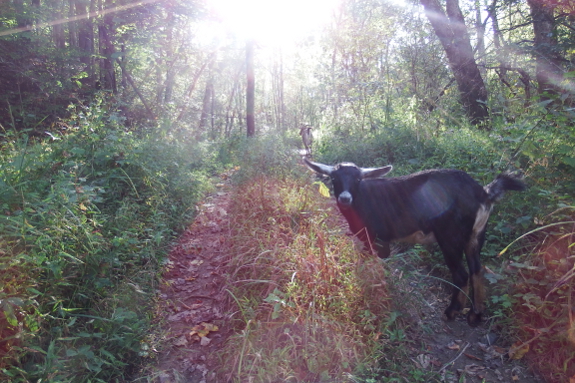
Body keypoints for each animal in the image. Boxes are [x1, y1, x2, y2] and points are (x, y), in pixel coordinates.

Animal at [306, 159, 528, 328]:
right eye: (334, 178)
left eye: (358, 179)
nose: (345, 198)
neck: (362, 199)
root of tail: (482, 193)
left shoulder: (375, 238)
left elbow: (370, 265)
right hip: (476, 235)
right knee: (477, 270)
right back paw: (475, 316)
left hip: (450, 236)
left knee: (461, 273)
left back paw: (451, 312)